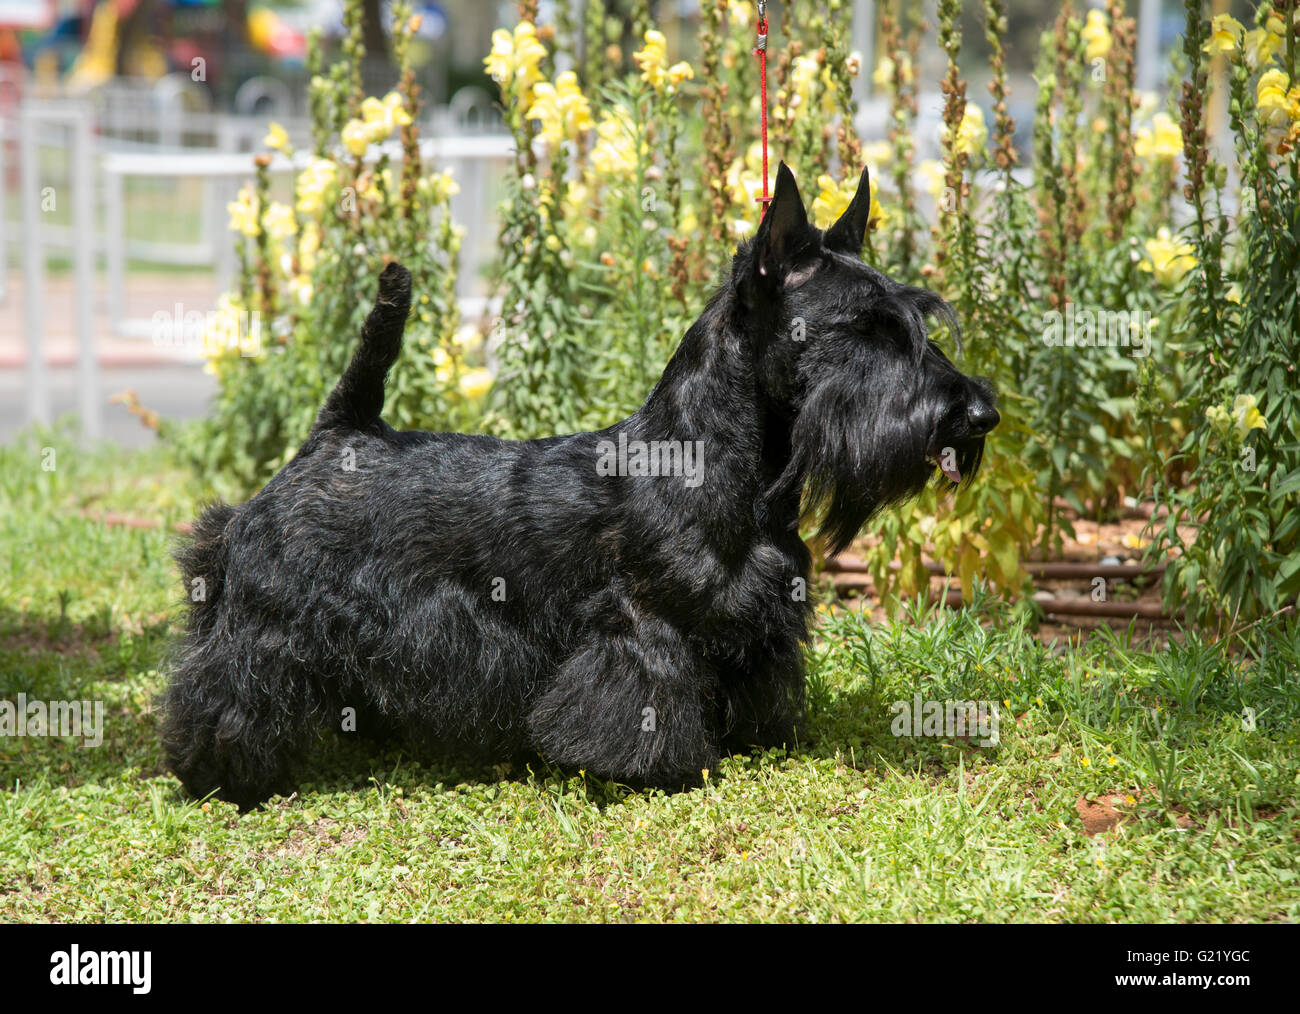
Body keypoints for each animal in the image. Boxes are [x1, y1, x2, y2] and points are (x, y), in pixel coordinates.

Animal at [159, 160, 993, 806]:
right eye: (865, 327)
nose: (980, 413)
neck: (711, 458)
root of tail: (340, 432)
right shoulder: (643, 621)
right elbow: (645, 697)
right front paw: (657, 769)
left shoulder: (759, 617)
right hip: (269, 615)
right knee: (226, 685)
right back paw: (224, 773)